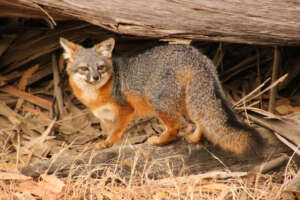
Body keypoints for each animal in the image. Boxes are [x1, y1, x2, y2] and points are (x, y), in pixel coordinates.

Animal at [60, 38, 260, 156]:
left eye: (100, 68)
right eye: (84, 69)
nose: (95, 77)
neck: (95, 95)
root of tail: (195, 55)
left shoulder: (125, 110)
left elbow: (115, 132)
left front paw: (107, 143)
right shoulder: (105, 117)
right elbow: (113, 132)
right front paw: (110, 145)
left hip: (158, 101)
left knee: (175, 127)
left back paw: (159, 141)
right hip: (190, 101)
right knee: (202, 121)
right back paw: (194, 139)